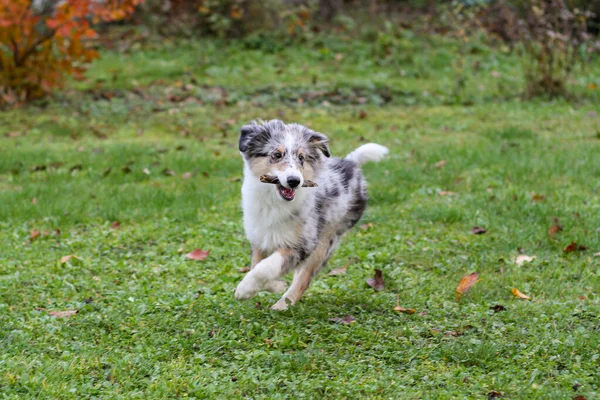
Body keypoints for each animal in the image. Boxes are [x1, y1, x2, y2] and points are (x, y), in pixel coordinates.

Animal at [234, 119, 390, 310]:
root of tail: (350, 164)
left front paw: (244, 289)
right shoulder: (259, 238)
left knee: (303, 279)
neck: (275, 202)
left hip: (326, 241)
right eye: (277, 155)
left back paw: (282, 305)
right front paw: (274, 285)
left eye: (301, 158)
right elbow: (257, 265)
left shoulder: (304, 244)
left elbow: (267, 267)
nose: (295, 181)